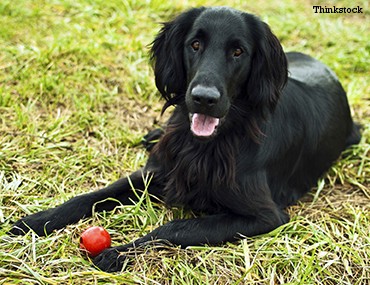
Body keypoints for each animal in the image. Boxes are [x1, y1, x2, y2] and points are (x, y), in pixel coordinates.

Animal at [10, 7, 360, 272]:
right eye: (195, 45)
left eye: (238, 51)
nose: (204, 98)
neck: (210, 143)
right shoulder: (161, 171)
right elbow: (92, 195)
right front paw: (37, 221)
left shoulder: (265, 215)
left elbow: (175, 228)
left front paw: (117, 251)